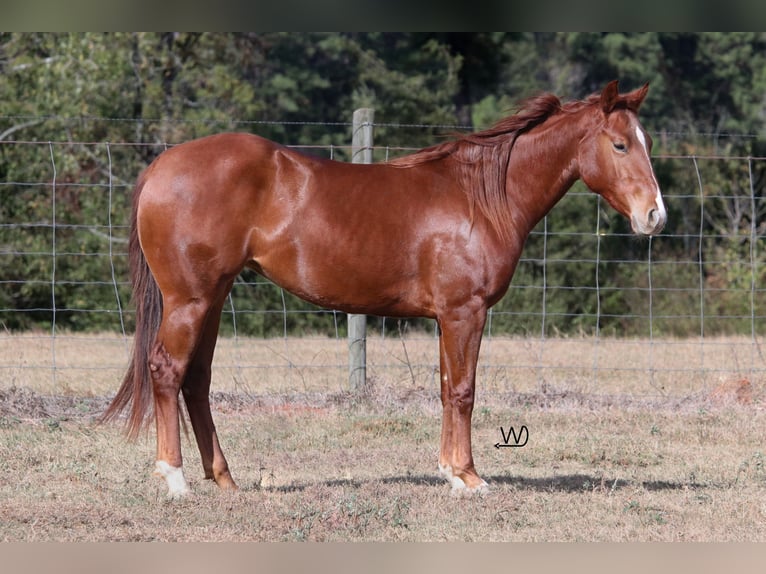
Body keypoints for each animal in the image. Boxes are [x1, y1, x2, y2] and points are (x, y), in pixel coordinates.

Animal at [100, 81, 664, 500]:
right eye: (620, 144)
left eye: (647, 143)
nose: (654, 216)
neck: (480, 197)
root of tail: (162, 166)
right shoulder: (465, 312)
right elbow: (464, 391)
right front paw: (470, 477)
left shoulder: (447, 318)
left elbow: (446, 388)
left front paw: (449, 472)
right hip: (189, 301)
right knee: (167, 371)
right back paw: (174, 479)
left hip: (213, 300)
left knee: (196, 379)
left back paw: (224, 479)